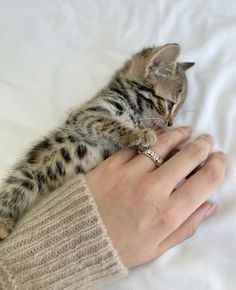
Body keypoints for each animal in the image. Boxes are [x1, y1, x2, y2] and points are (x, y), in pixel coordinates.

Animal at [0, 42, 194, 238]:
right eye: (170, 104)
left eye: (177, 108)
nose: (170, 123)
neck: (132, 106)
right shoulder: (85, 115)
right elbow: (110, 124)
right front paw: (138, 135)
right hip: (26, 177)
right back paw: (3, 224)